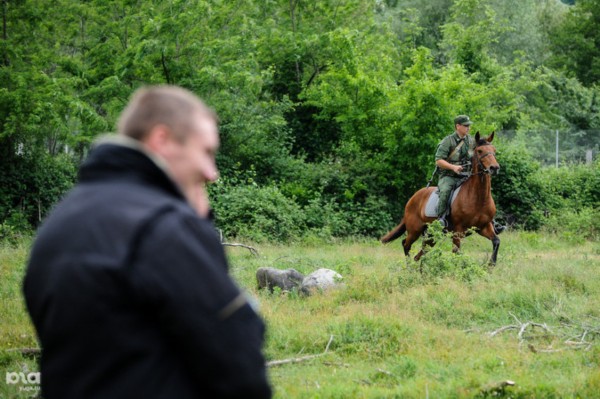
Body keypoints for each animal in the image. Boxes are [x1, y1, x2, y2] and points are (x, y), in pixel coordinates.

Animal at [380, 131, 502, 268]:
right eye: (480, 151)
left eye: (494, 150)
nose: (494, 168)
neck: (479, 199)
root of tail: (412, 198)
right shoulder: (458, 231)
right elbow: (457, 252)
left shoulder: (484, 227)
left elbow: (496, 241)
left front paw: (491, 265)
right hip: (414, 230)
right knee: (405, 244)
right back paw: (410, 268)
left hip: (431, 234)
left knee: (421, 252)